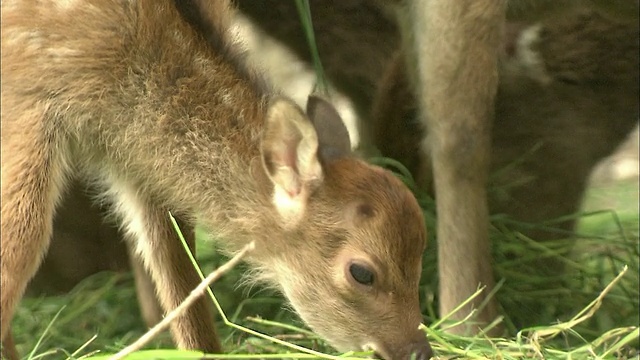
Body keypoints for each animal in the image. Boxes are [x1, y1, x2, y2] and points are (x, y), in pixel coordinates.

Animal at [1, 0, 430, 360]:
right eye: (362, 272)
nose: (419, 350)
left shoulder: (139, 164)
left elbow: (178, 274)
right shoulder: (29, 102)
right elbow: (20, 243)